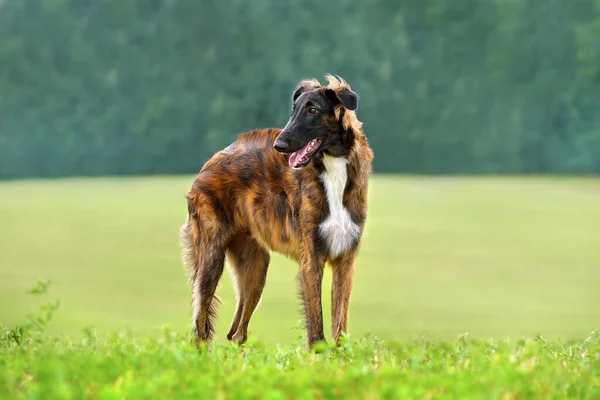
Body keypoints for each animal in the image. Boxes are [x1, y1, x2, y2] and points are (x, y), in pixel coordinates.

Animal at [180, 75, 372, 350]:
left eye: (312, 110)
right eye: (294, 110)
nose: (279, 145)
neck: (333, 167)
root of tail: (209, 164)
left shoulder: (345, 259)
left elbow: (339, 326)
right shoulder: (311, 259)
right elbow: (316, 326)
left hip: (256, 268)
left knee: (238, 333)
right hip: (210, 259)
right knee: (200, 327)